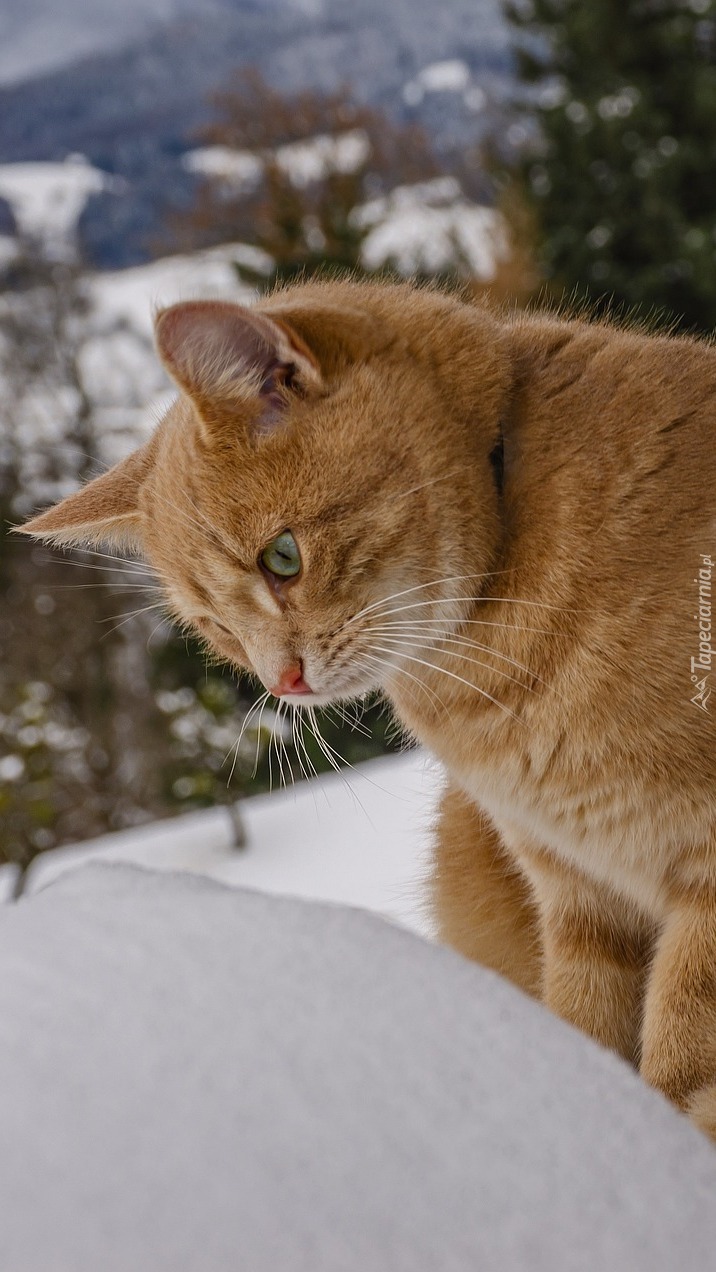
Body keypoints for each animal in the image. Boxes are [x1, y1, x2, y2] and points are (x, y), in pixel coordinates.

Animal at [19, 283, 716, 1139]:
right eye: (216, 626)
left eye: (282, 558)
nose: (283, 681)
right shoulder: (579, 899)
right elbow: (591, 1042)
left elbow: (681, 1072)